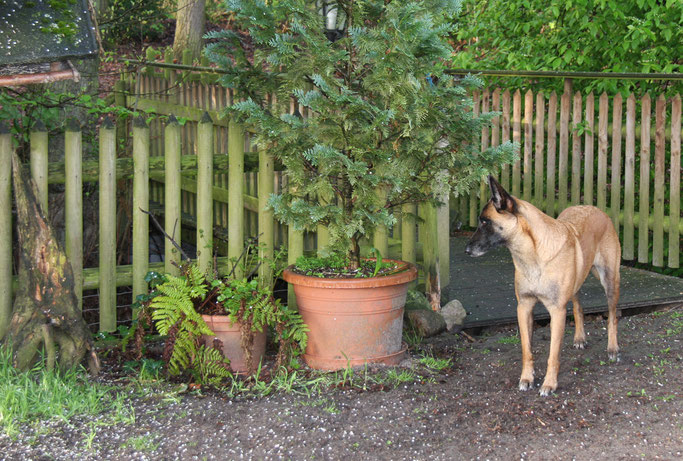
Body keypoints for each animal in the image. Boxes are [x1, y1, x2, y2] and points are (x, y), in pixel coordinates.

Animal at [464, 176, 620, 396]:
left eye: (485, 221)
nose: (467, 250)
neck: (534, 255)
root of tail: (595, 208)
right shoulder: (524, 307)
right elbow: (526, 350)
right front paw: (527, 378)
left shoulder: (557, 311)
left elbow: (553, 354)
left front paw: (549, 383)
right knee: (578, 306)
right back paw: (580, 337)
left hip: (610, 281)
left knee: (612, 317)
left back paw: (612, 348)